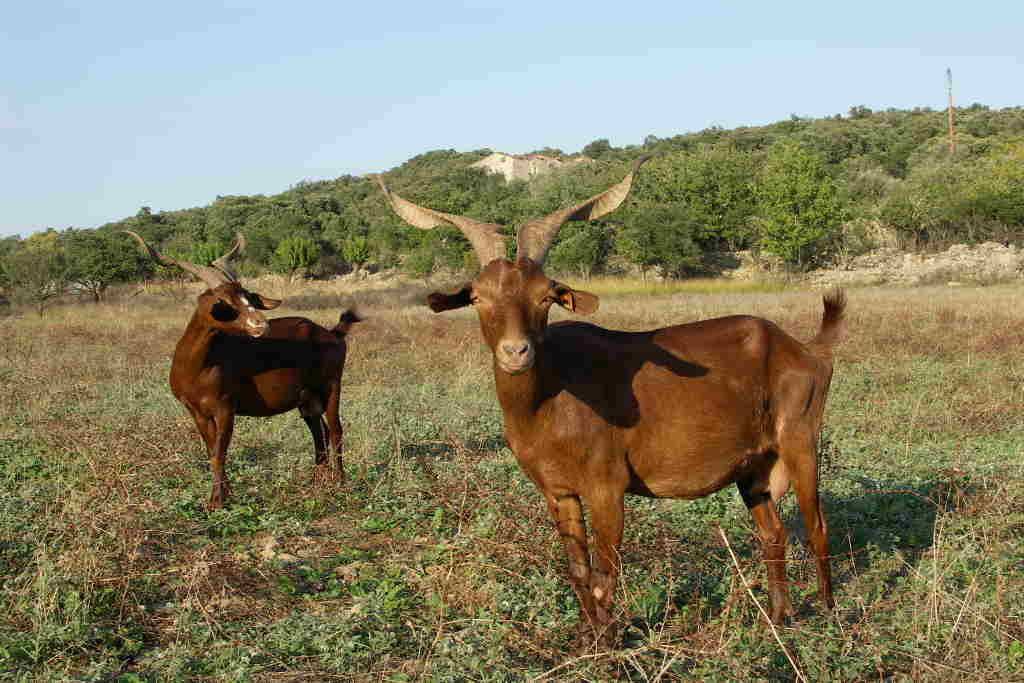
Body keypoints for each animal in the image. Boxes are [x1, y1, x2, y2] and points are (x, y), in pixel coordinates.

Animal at [126, 232, 360, 509]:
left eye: (248, 296)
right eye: (223, 301)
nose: (261, 324)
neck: (198, 366)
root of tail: (333, 333)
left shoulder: (226, 407)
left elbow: (219, 453)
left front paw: (216, 502)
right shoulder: (196, 411)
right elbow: (211, 451)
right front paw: (225, 496)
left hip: (332, 385)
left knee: (335, 430)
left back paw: (340, 483)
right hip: (307, 399)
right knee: (319, 431)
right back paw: (317, 482)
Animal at [380, 157, 843, 651]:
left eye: (545, 297)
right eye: (477, 297)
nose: (515, 352)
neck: (549, 400)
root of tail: (807, 349)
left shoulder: (607, 486)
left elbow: (606, 576)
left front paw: (607, 648)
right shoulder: (558, 490)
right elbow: (579, 572)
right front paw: (586, 642)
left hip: (800, 439)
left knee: (817, 527)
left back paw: (830, 619)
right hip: (753, 467)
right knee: (772, 533)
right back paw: (777, 619)